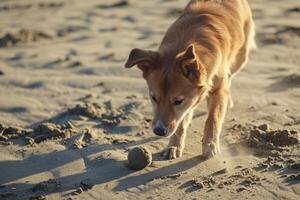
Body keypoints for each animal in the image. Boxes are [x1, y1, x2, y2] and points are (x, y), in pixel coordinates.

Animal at [124, 0, 255, 159]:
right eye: (154, 98)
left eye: (178, 101)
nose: (159, 131)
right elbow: (181, 122)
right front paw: (174, 146)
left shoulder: (217, 90)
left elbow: (213, 118)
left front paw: (210, 144)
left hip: (241, 57)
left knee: (230, 77)